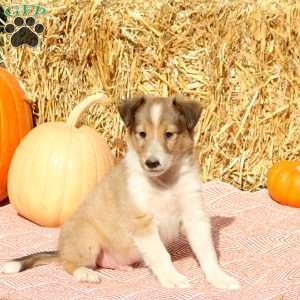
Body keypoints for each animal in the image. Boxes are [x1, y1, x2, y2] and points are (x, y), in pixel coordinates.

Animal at [0, 95, 239, 288]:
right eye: (142, 133)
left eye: (169, 134)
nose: (152, 163)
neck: (165, 182)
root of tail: (61, 249)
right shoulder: (142, 222)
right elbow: (161, 255)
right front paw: (172, 278)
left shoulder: (194, 215)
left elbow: (207, 251)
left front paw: (220, 278)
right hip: (87, 238)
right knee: (69, 264)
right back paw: (85, 273)